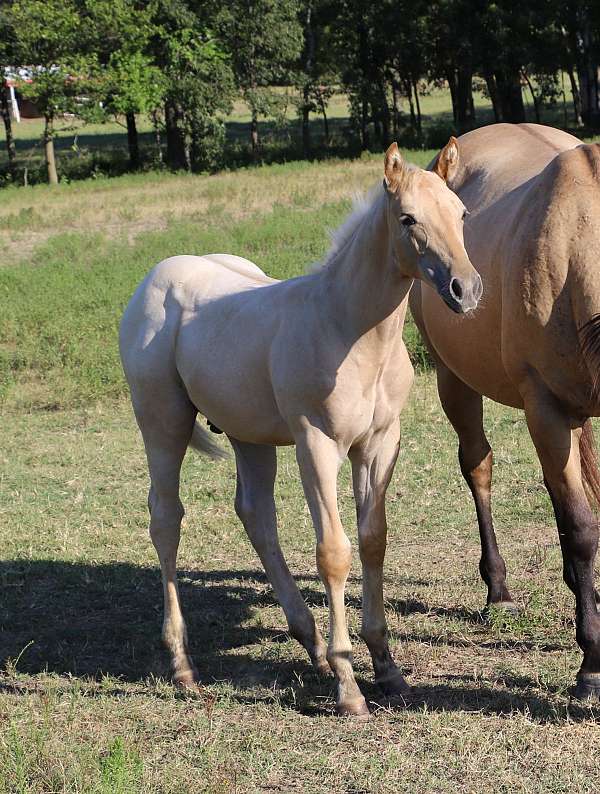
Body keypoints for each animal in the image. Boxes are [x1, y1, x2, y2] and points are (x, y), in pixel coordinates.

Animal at [119, 140, 482, 718]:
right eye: (408, 219)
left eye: (462, 213)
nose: (465, 290)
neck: (347, 328)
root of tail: (154, 279)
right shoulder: (317, 443)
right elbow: (333, 553)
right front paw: (349, 686)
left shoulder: (379, 445)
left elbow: (373, 541)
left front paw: (386, 668)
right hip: (162, 421)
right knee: (165, 519)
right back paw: (182, 664)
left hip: (248, 434)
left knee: (255, 515)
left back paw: (309, 643)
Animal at [410, 123, 600, 700]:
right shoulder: (545, 406)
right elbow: (582, 528)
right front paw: (591, 663)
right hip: (455, 379)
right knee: (479, 467)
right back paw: (499, 589)